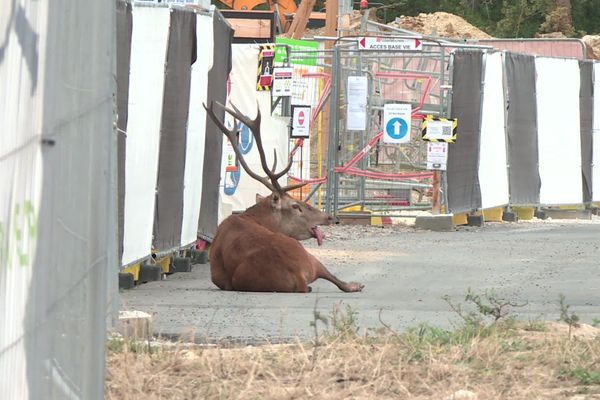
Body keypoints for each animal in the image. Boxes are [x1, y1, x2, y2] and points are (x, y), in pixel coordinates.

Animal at [206, 101, 364, 292]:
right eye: (296, 206)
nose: (330, 217)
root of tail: (298, 276)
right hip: (310, 257)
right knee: (340, 282)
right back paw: (357, 284)